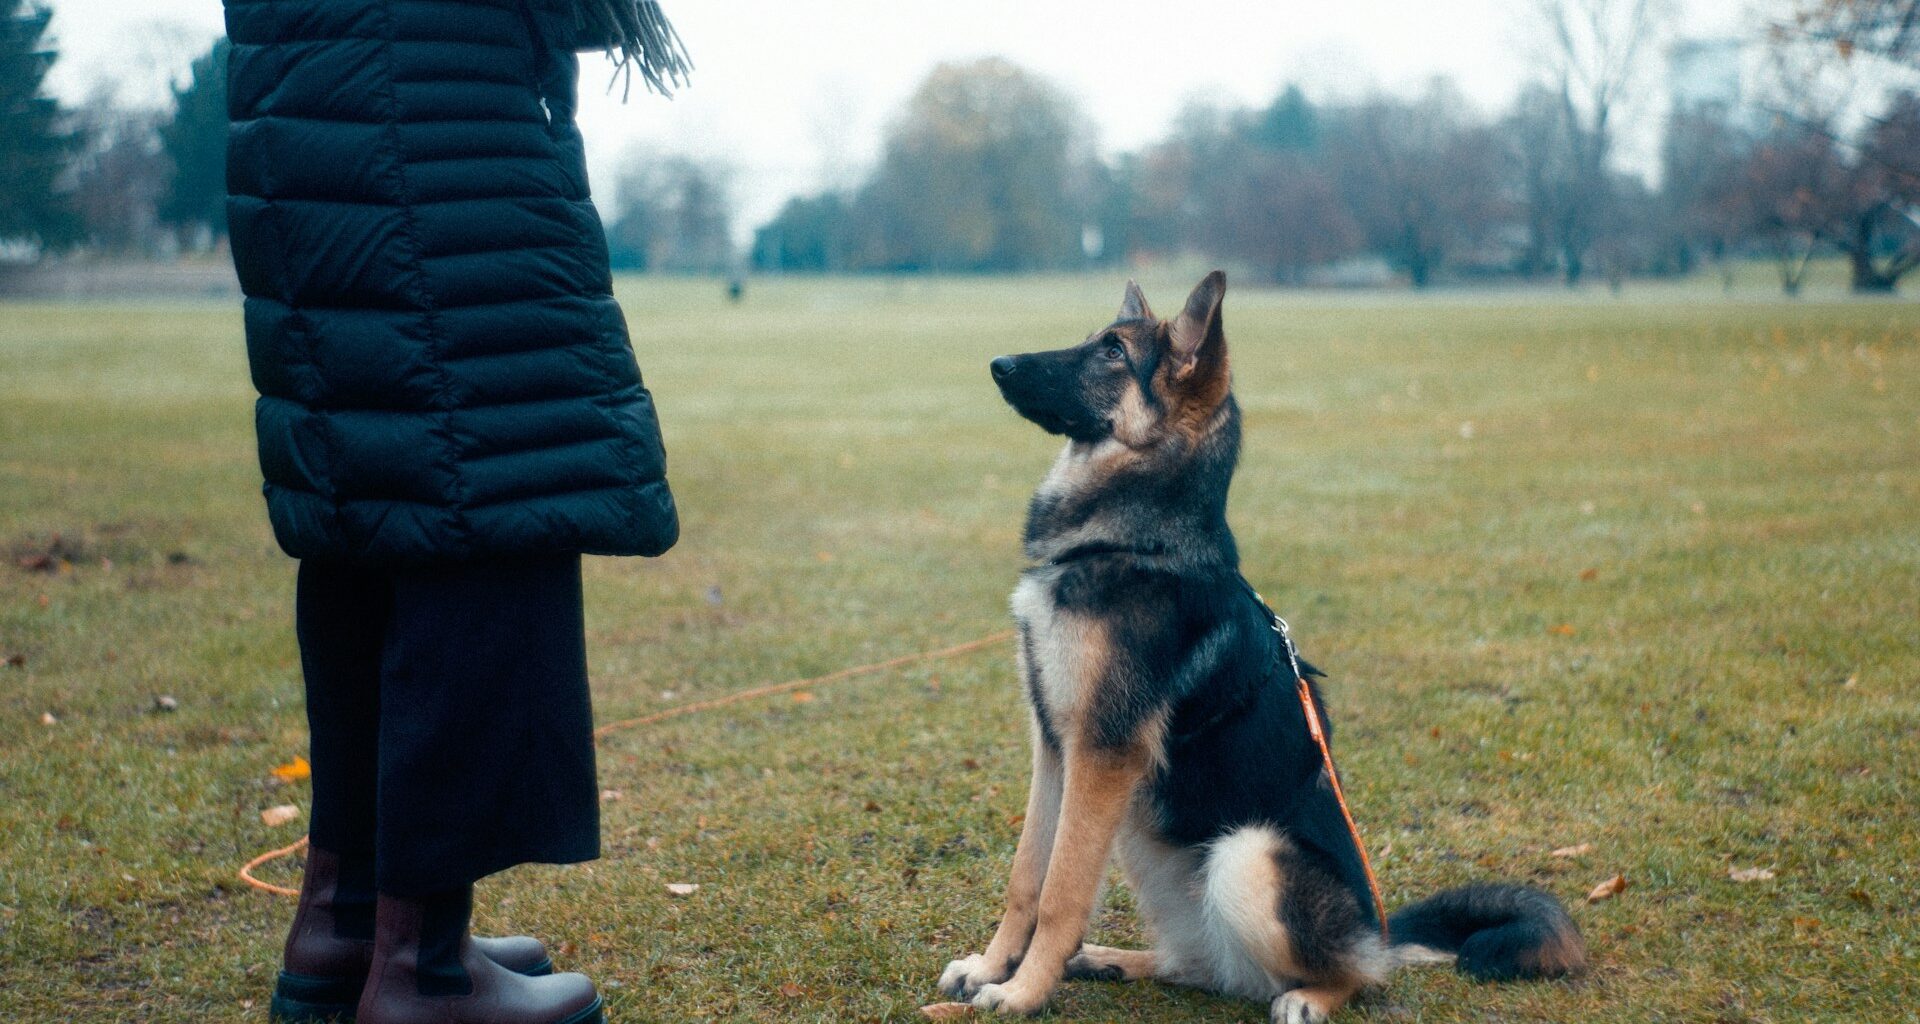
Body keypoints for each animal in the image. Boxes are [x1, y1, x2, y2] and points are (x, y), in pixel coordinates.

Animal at [936, 272, 1582, 1022]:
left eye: (1112, 352)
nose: (999, 365)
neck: (1134, 540)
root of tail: (1378, 931)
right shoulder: (1056, 747)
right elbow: (1027, 878)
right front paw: (991, 967)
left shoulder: (1102, 753)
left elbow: (1062, 892)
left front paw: (1021, 992)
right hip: (1147, 839)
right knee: (1201, 966)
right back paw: (1109, 960)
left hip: (1245, 854)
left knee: (1353, 975)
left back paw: (1310, 995)